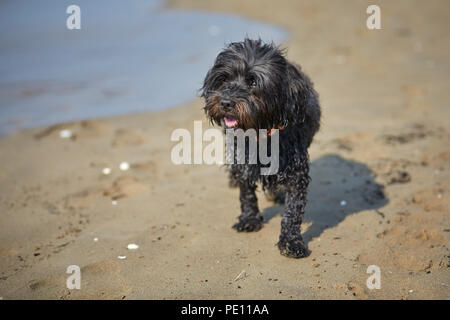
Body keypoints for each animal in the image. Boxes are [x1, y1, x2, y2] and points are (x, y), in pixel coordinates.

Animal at [202, 38, 322, 258]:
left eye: (253, 82)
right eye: (224, 79)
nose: (225, 102)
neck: (259, 133)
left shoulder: (297, 172)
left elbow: (293, 211)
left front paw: (291, 241)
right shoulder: (242, 161)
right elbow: (246, 192)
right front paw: (249, 219)